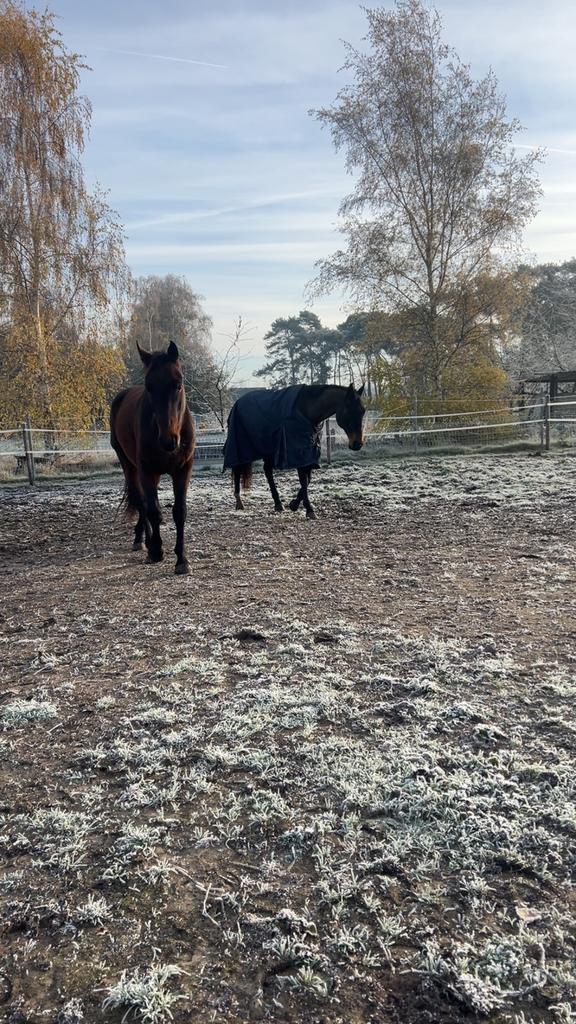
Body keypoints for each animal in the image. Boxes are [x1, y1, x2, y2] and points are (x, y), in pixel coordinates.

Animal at [110, 341, 195, 575]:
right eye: (149, 386)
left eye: (178, 383)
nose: (168, 441)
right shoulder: (147, 470)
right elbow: (153, 510)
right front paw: (156, 550)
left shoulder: (183, 470)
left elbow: (179, 511)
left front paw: (182, 559)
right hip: (130, 466)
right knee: (141, 502)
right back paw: (144, 541)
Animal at [224, 383, 365, 519]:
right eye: (349, 410)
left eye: (362, 412)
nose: (357, 444)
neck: (306, 410)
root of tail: (236, 404)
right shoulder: (299, 453)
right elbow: (304, 480)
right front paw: (309, 510)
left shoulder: (310, 452)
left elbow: (307, 480)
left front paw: (294, 504)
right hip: (241, 446)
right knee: (237, 469)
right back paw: (239, 502)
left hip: (269, 450)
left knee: (267, 471)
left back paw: (278, 504)